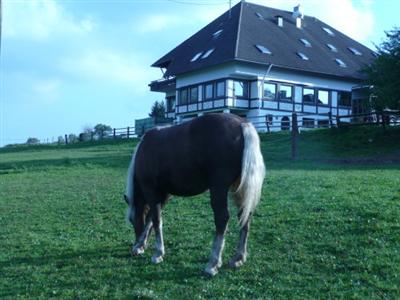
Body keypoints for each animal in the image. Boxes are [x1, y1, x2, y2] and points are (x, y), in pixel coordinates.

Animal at [123, 113, 264, 276]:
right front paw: (143, 245)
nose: (136, 245)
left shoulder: (151, 191)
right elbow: (151, 220)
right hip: (239, 189)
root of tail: (242, 124)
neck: (144, 150)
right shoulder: (164, 195)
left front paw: (157, 253)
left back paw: (213, 264)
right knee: (245, 217)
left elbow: (156, 220)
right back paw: (238, 258)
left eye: (132, 220)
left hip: (219, 188)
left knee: (222, 218)